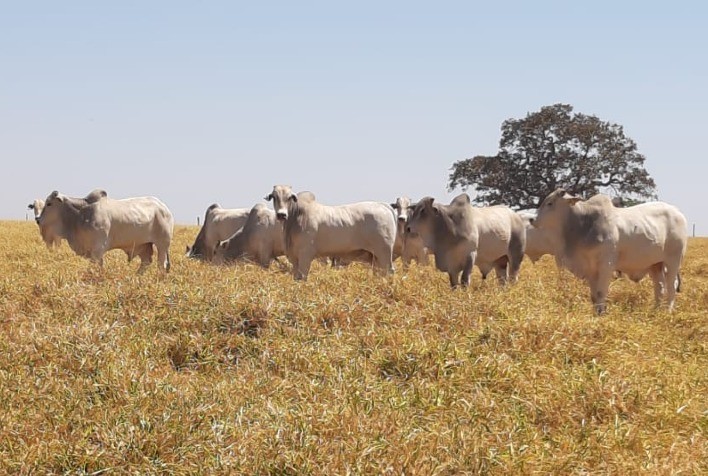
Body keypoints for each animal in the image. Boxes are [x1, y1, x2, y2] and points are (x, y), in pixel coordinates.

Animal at [37, 189, 174, 273]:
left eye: (49, 203)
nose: (38, 219)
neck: (80, 214)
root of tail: (164, 207)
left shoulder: (98, 249)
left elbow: (94, 268)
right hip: (143, 245)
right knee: (146, 262)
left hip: (162, 244)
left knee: (161, 264)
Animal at [265, 185, 397, 280]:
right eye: (274, 197)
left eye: (289, 197)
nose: (281, 214)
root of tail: (382, 205)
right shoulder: (293, 257)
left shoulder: (305, 255)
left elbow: (303, 277)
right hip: (375, 257)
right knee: (380, 272)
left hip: (384, 252)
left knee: (389, 271)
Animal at [531, 189, 687, 314]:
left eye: (550, 203)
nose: (532, 219)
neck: (584, 225)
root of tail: (678, 212)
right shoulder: (590, 269)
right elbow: (594, 296)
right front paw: (597, 313)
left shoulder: (606, 265)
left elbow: (601, 292)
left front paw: (602, 313)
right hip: (655, 264)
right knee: (659, 287)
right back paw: (655, 310)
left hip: (673, 260)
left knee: (671, 286)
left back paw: (668, 311)